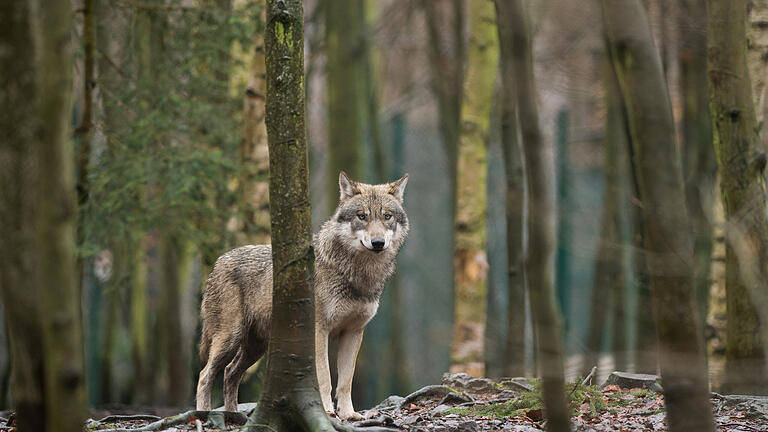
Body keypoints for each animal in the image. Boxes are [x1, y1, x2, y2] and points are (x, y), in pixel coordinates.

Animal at [196, 171, 408, 418]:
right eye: (362, 216)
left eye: (387, 216)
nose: (378, 243)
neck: (357, 274)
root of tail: (218, 261)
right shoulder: (319, 331)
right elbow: (325, 378)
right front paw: (327, 412)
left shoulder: (353, 333)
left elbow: (345, 381)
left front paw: (348, 415)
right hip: (229, 339)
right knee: (205, 375)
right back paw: (203, 414)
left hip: (256, 347)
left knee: (230, 373)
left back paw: (233, 414)